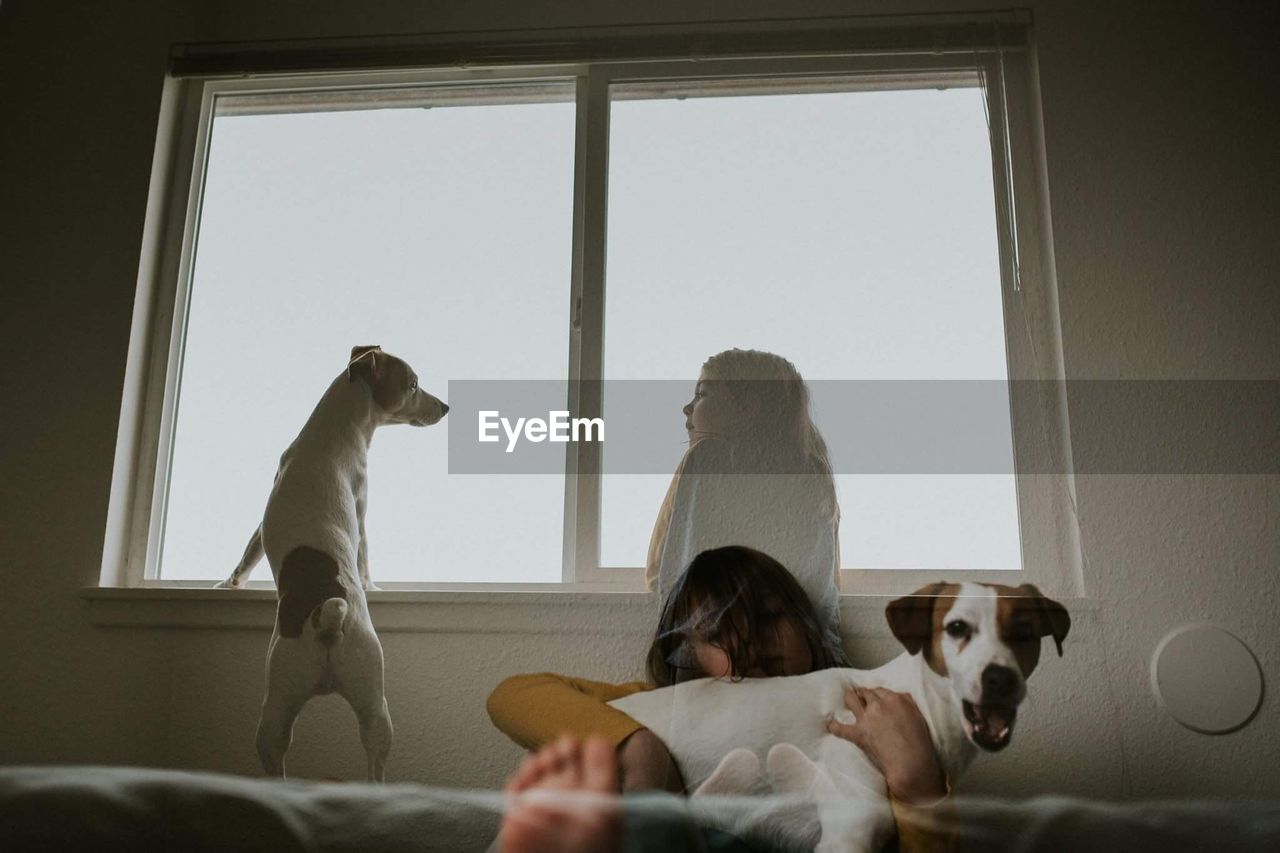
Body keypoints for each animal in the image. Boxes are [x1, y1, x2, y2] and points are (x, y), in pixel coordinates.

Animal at [222, 343, 453, 778]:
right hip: (373, 706)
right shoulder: (360, 510)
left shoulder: (270, 520)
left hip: (278, 708)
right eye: (413, 384)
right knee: (374, 768)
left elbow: (248, 553)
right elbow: (363, 557)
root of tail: (327, 619)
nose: (446, 407)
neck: (330, 435)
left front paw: (229, 584)